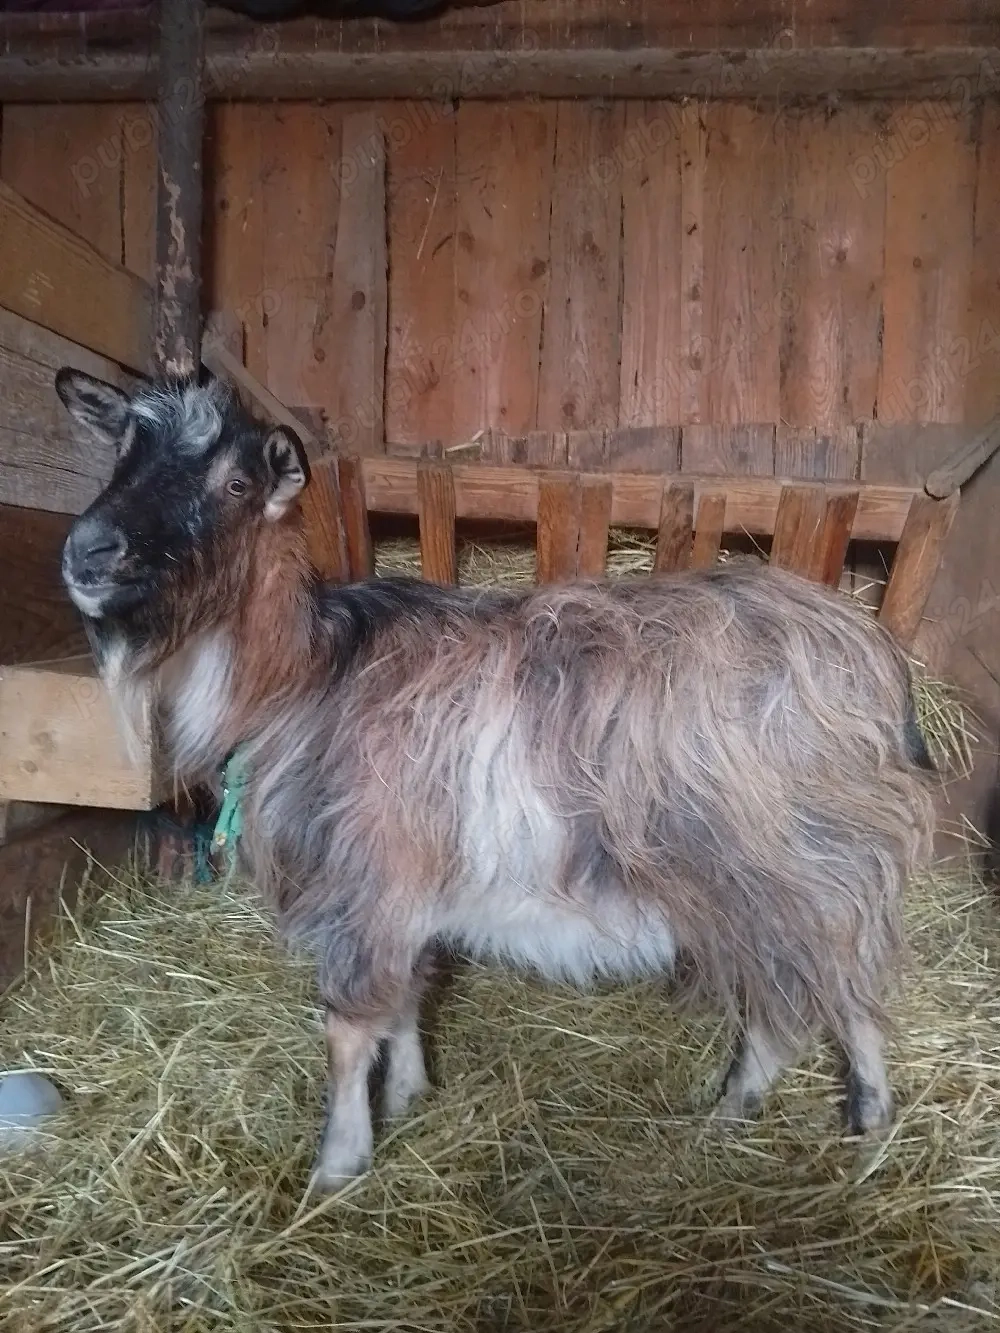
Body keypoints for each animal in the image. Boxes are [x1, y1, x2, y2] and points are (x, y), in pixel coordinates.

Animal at [56, 369, 936, 1190]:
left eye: (236, 482)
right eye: (120, 452)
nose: (89, 553)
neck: (304, 674)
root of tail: (878, 663)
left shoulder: (365, 878)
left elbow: (349, 1028)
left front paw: (337, 1164)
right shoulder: (406, 882)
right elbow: (407, 996)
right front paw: (410, 1093)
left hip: (783, 872)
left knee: (803, 1000)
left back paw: (758, 1112)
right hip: (805, 881)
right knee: (838, 990)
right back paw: (848, 1119)